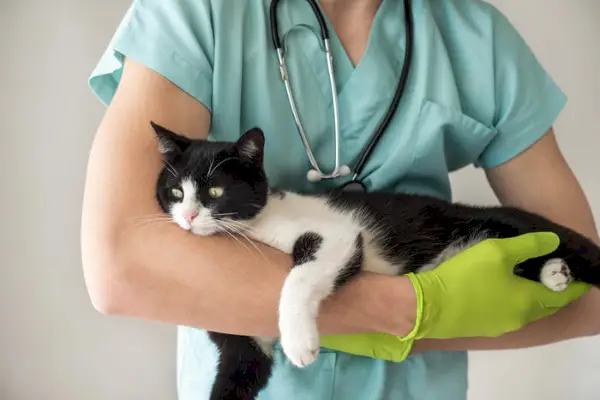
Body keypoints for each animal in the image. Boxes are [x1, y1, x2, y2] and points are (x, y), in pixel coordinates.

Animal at [151, 122, 600, 400]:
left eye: (215, 192)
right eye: (175, 192)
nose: (188, 217)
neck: (254, 228)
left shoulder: (339, 235)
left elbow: (299, 276)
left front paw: (299, 341)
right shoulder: (244, 346)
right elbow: (240, 372)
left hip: (510, 225)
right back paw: (554, 274)